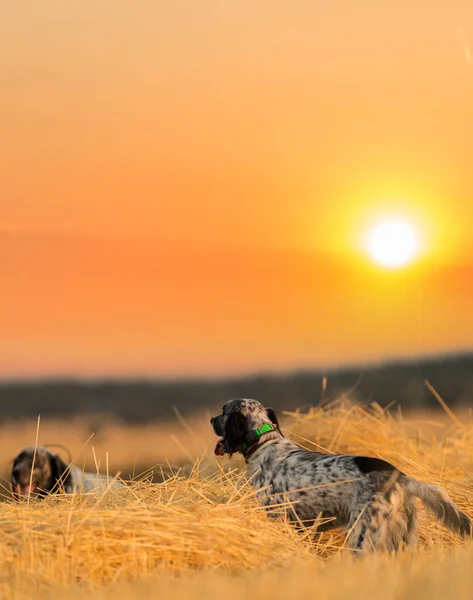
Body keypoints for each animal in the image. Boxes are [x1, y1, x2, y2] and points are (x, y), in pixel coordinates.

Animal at [211, 400, 472, 556]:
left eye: (223, 411)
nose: (211, 419)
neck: (264, 443)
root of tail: (401, 478)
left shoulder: (278, 518)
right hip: (402, 541)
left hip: (362, 537)